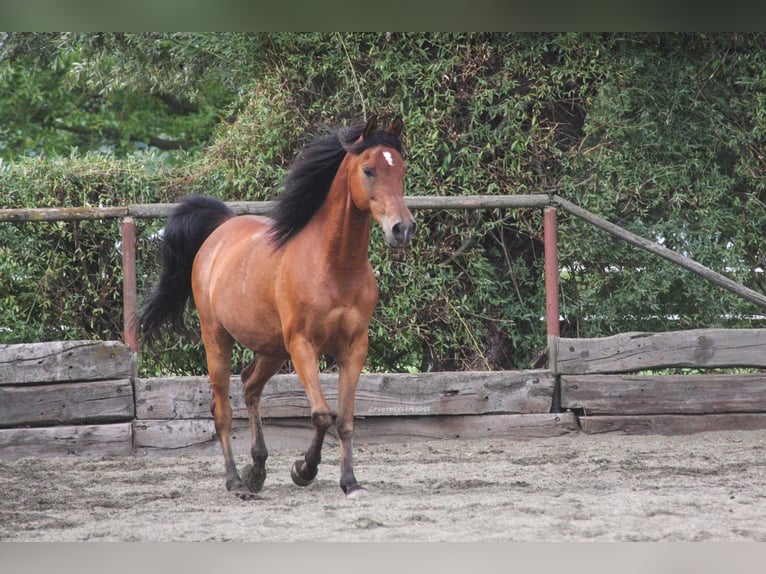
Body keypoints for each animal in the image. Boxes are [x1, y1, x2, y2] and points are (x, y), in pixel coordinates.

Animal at [138, 118, 414, 500]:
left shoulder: (354, 347)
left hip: (272, 349)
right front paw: (303, 470)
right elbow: (321, 414)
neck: (333, 266)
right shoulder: (303, 346)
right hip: (218, 339)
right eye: (368, 169)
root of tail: (221, 229)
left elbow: (344, 420)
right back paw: (236, 482)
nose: (402, 229)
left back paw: (256, 470)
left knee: (250, 386)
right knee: (222, 410)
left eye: (401, 169)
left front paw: (350, 482)